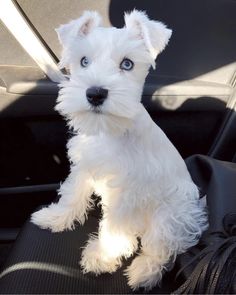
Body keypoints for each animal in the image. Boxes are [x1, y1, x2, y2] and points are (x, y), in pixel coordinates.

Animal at [30, 9, 206, 292]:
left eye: (127, 64)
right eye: (84, 61)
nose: (95, 93)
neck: (110, 132)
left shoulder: (126, 193)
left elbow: (114, 227)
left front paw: (101, 256)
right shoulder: (84, 167)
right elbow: (72, 194)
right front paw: (55, 217)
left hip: (171, 214)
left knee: (161, 249)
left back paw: (143, 273)